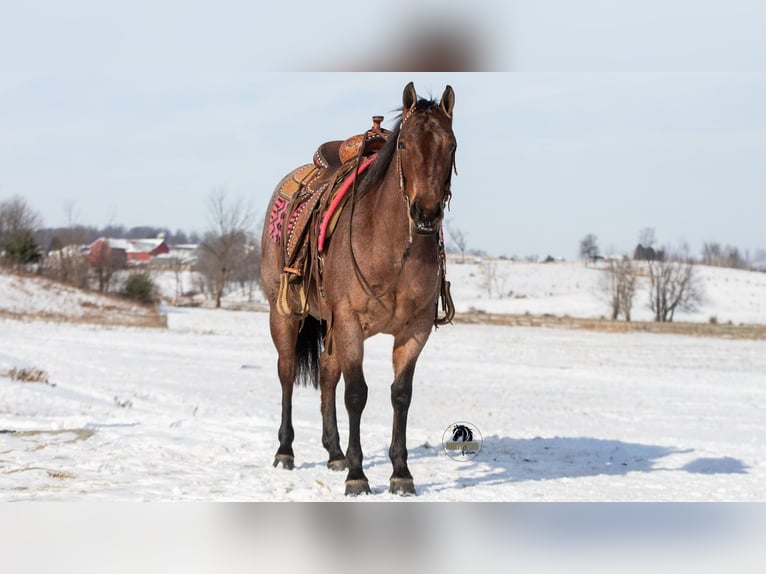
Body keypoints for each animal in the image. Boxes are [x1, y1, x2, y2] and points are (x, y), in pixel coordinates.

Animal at [260, 82, 457, 495]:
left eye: (451, 145)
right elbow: (356, 394)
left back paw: (334, 453)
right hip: (284, 314)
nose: (426, 213)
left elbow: (400, 395)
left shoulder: (414, 330)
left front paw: (401, 473)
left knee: (325, 372)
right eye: (404, 145)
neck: (393, 249)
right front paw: (357, 475)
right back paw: (286, 451)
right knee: (287, 372)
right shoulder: (350, 323)